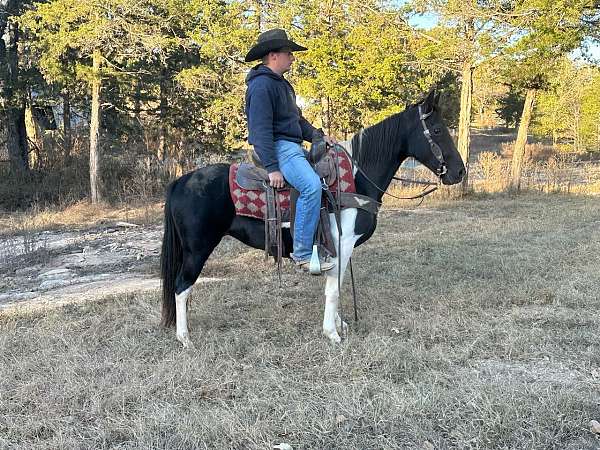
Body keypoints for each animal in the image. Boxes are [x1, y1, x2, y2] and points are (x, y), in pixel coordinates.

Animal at [158, 89, 464, 348]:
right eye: (437, 130)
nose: (459, 172)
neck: (355, 179)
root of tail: (181, 181)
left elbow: (337, 284)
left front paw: (340, 324)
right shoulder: (342, 243)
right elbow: (333, 289)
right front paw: (333, 334)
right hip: (198, 249)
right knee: (181, 287)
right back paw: (185, 339)